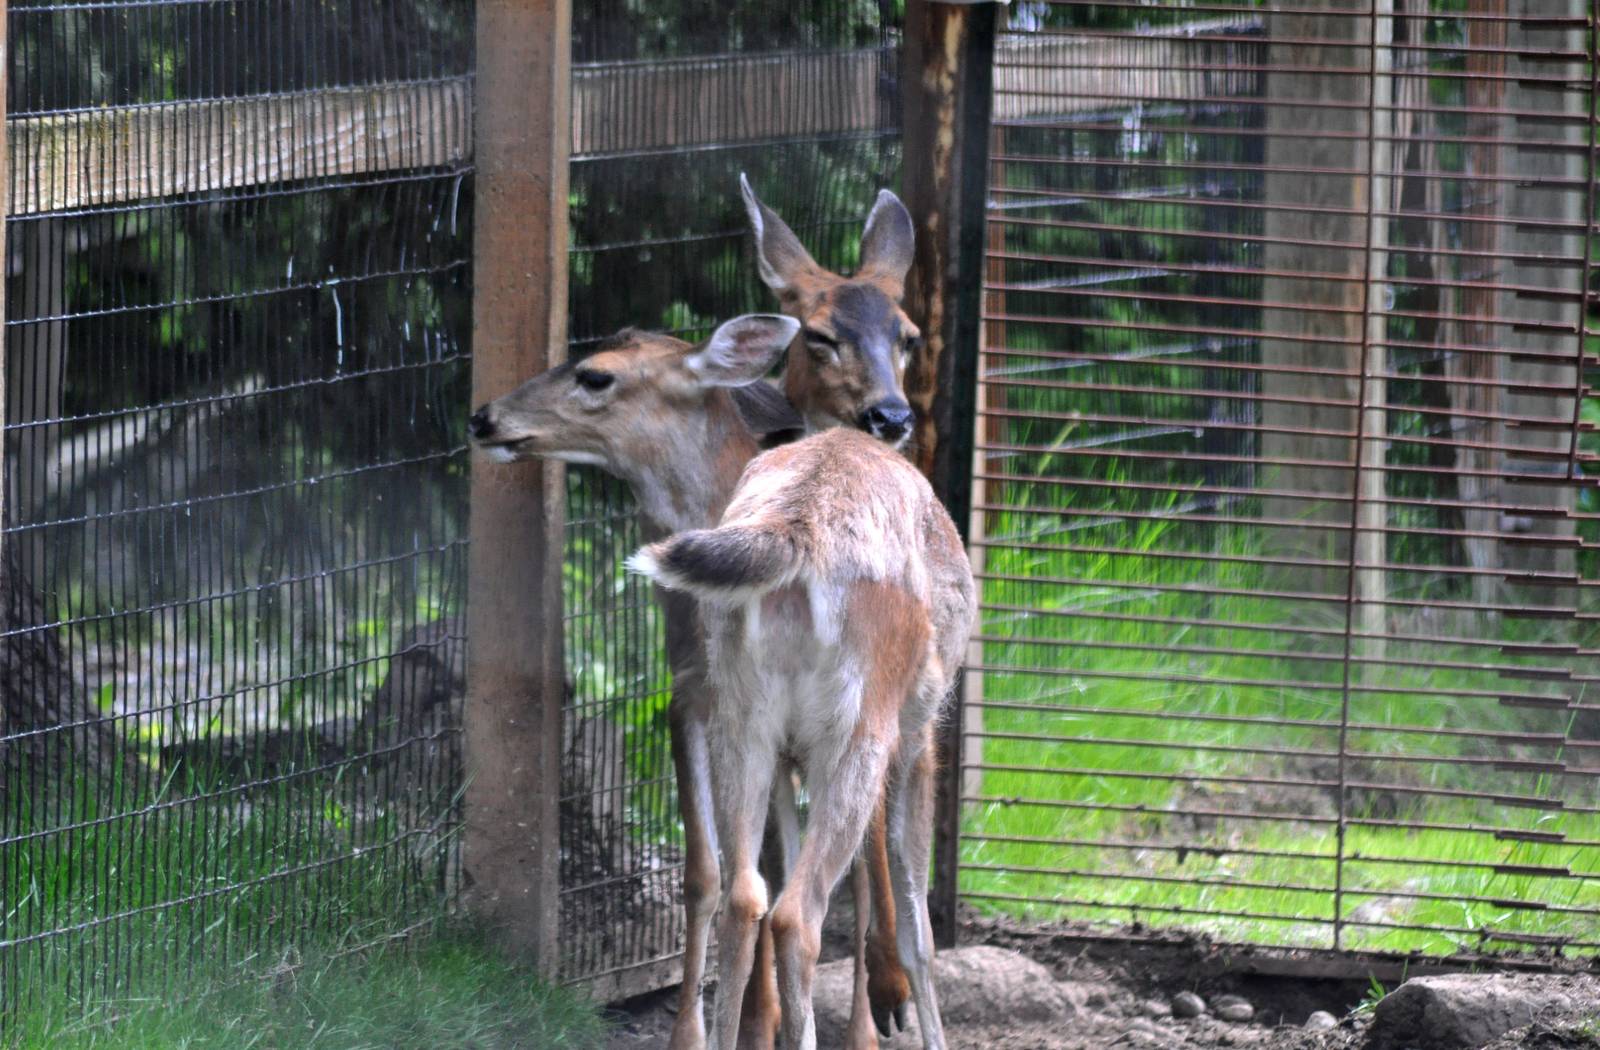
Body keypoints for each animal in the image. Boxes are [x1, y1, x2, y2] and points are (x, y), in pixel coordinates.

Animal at [630, 423, 977, 1050]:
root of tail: (795, 532)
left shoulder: (786, 759)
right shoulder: (918, 738)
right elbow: (919, 928)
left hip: (741, 717)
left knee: (746, 896)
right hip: (860, 729)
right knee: (797, 914)